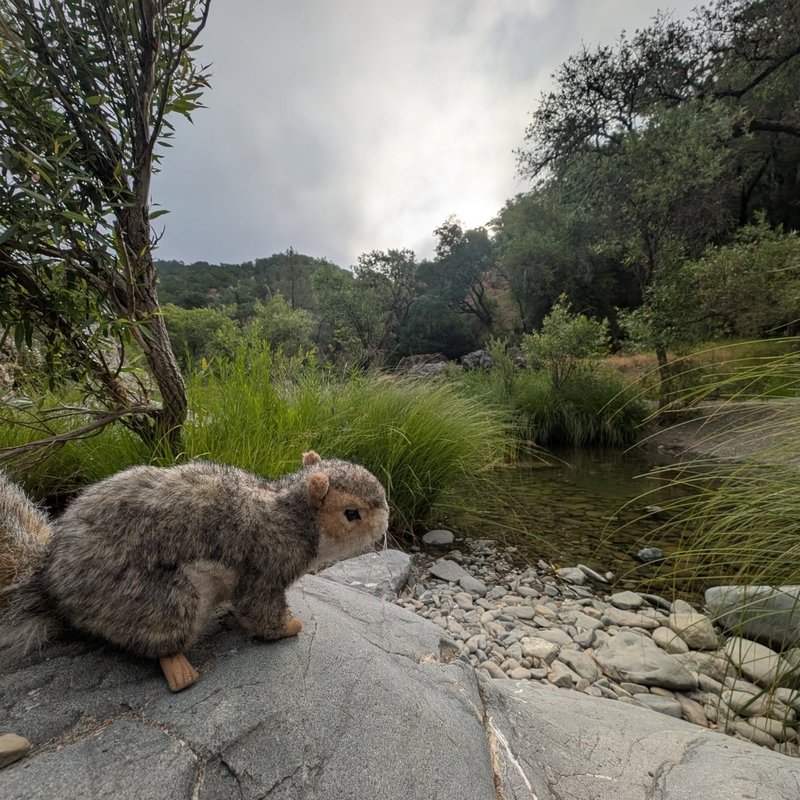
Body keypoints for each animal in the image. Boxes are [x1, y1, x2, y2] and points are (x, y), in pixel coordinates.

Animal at [0, 451, 389, 692]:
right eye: (352, 513)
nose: (387, 523)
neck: (291, 515)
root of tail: (51, 585)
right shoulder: (265, 565)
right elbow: (259, 609)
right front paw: (290, 626)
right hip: (163, 602)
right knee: (160, 643)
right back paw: (181, 671)